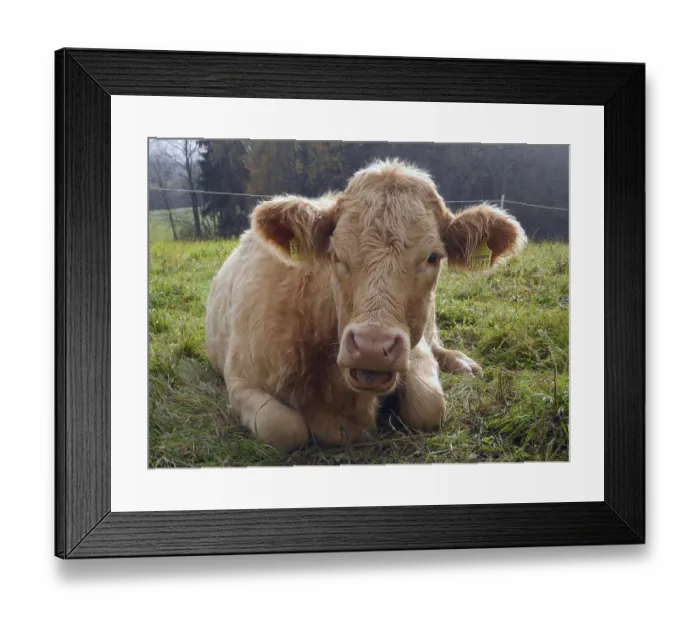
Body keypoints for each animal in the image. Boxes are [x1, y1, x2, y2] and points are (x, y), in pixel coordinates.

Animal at [205, 159, 527, 453]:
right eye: (335, 254)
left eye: (433, 257)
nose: (372, 347)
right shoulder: (241, 378)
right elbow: (282, 428)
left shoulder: (415, 347)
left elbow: (429, 405)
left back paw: (462, 363)